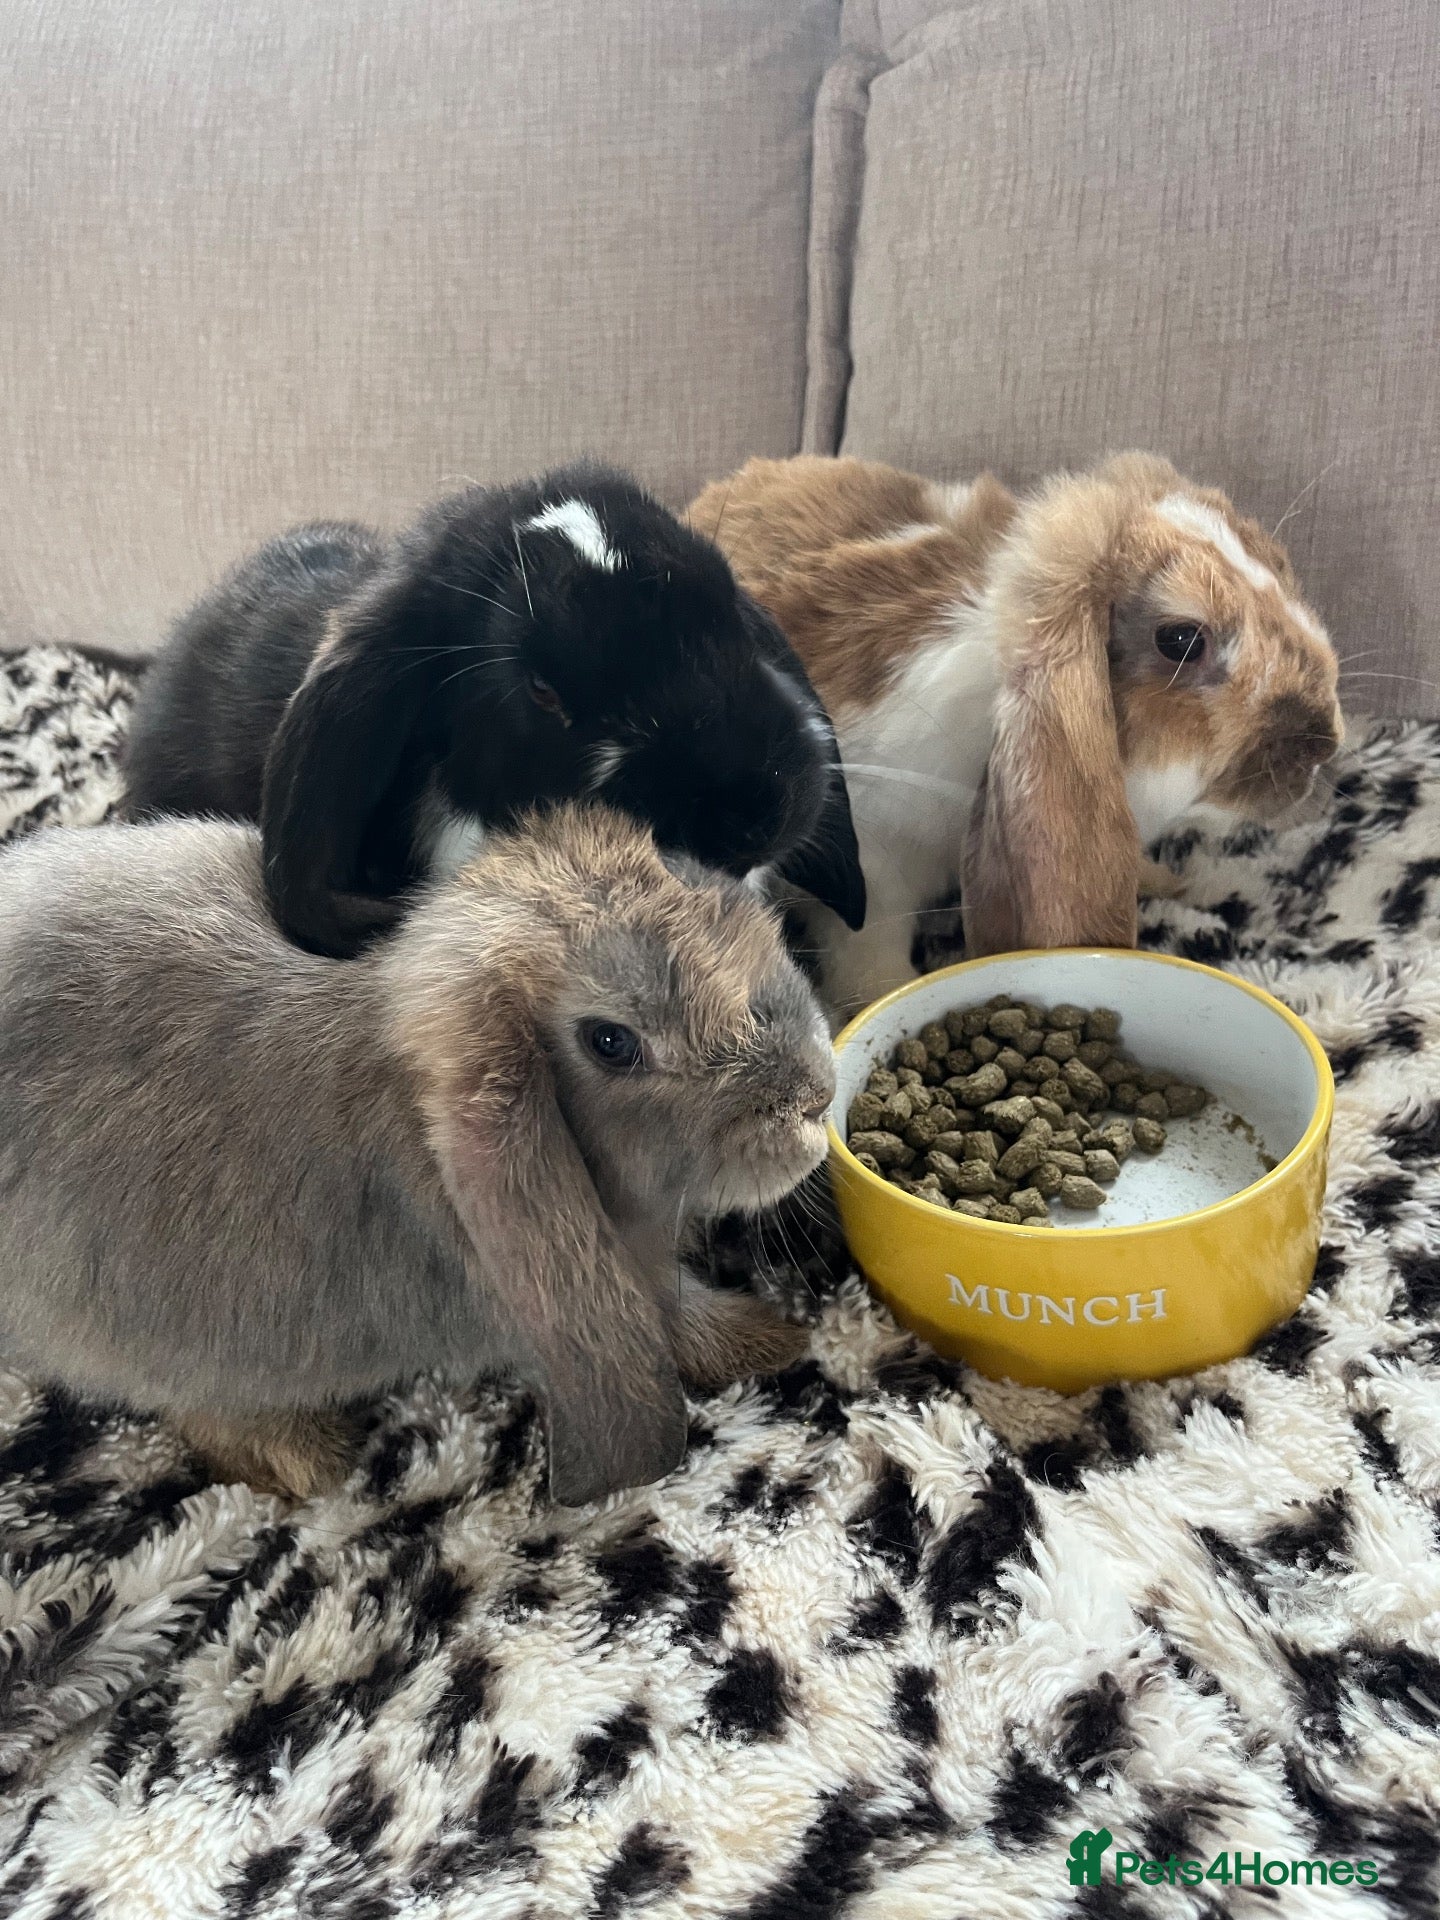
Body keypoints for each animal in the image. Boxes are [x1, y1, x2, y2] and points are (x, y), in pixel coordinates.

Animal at [0, 803, 835, 1504]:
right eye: (611, 1042)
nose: (816, 1099)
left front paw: (773, 1338)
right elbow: (670, 1317)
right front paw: (772, 1340)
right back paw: (310, 1461)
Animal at [688, 451, 1343, 1017]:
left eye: (1278, 563)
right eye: (1181, 640)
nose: (1325, 750)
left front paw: (1169, 882)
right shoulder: (874, 862)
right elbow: (868, 949)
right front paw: (889, 995)